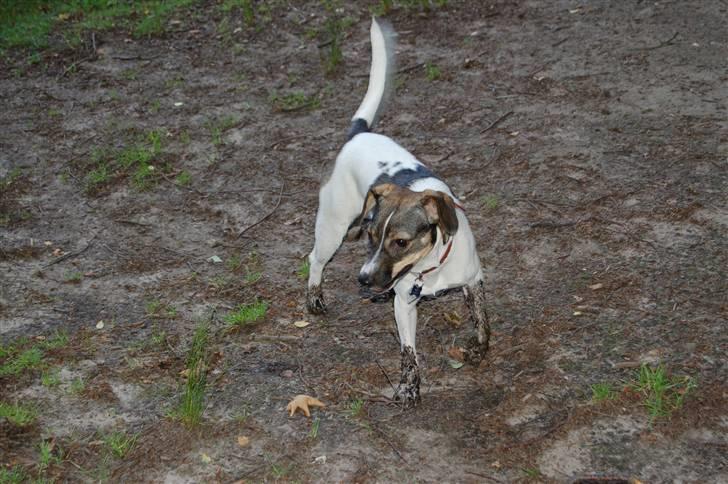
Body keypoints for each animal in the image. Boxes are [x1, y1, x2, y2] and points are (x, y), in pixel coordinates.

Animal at [304, 18, 492, 406]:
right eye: (372, 236)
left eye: (401, 242)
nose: (362, 279)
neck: (430, 268)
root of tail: (358, 134)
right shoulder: (403, 303)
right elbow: (409, 352)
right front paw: (408, 386)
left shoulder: (473, 279)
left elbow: (483, 322)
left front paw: (479, 349)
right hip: (332, 225)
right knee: (314, 258)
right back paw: (314, 297)